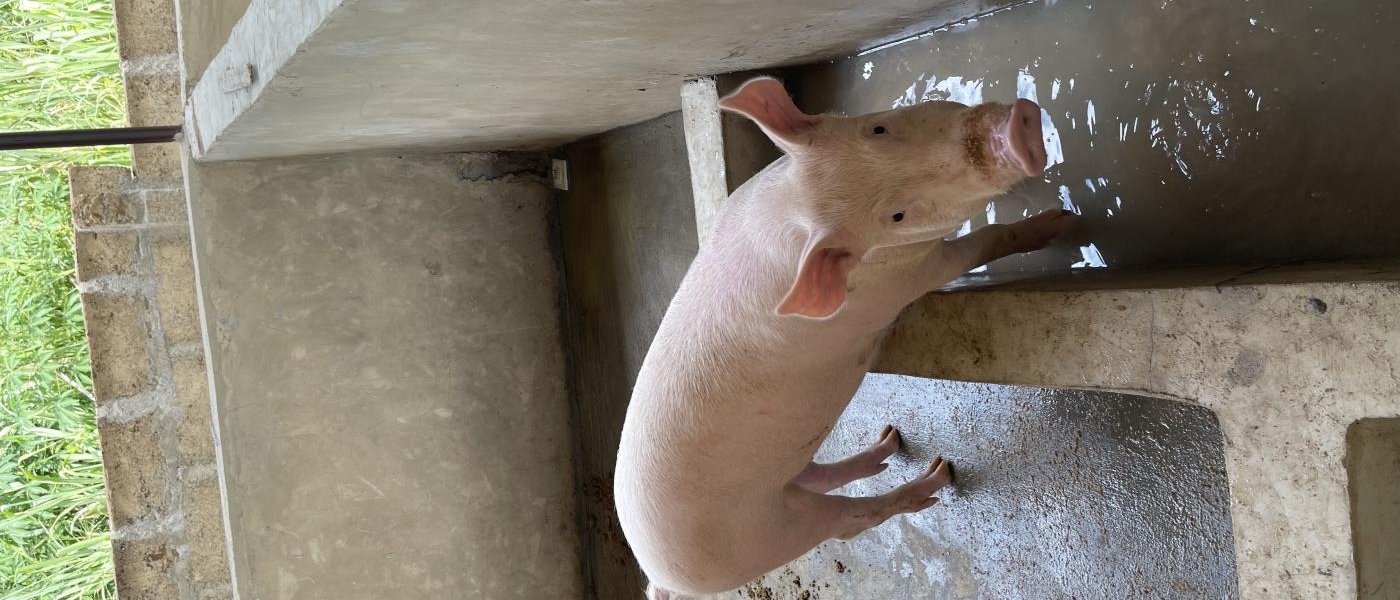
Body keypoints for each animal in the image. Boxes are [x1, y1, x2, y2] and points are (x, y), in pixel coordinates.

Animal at [614, 76, 1071, 599]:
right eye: (896, 216)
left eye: (878, 129)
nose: (1016, 135)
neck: (791, 214)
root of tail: (657, 574)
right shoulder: (907, 278)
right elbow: (981, 243)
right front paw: (1061, 222)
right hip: (764, 538)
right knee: (851, 520)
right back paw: (933, 475)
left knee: (816, 473)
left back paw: (888, 444)